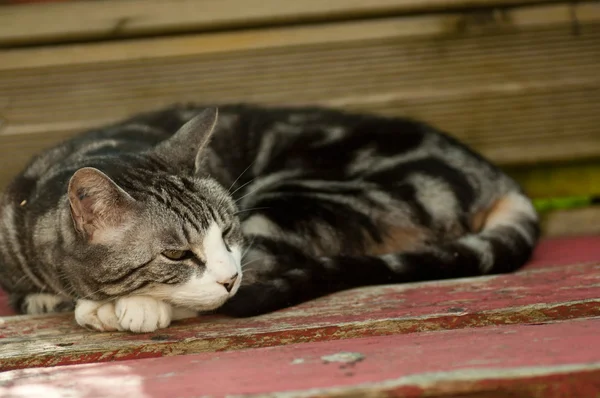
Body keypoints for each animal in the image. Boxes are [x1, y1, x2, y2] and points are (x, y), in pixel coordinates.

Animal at [0, 103, 540, 332]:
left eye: (227, 231)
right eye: (176, 253)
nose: (227, 275)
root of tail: (495, 176)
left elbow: (214, 298)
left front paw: (128, 307)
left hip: (296, 198)